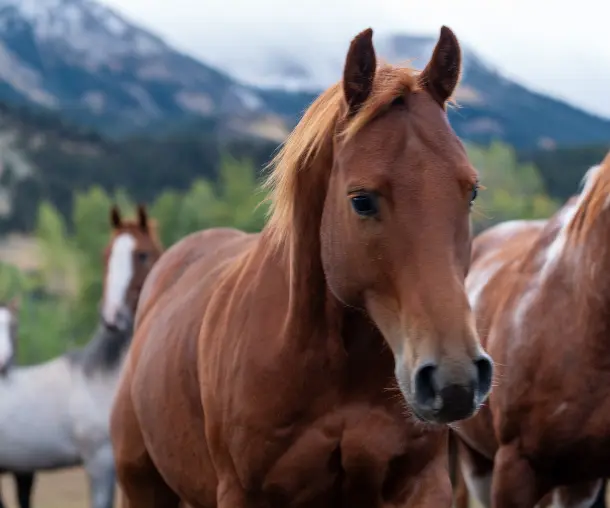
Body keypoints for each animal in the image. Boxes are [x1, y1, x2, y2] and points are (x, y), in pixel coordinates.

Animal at [111, 27, 492, 508]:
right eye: (361, 200)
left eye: (471, 191)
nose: (454, 379)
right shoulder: (242, 494)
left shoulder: (423, 483)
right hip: (142, 485)